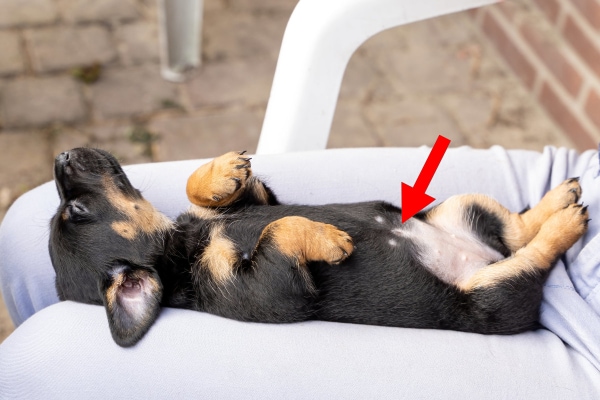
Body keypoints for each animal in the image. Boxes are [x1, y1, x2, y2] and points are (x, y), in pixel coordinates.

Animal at [49, 148, 588, 346]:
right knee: (532, 253)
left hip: (459, 207)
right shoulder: (272, 288)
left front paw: (222, 171)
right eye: (76, 210)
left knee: (516, 228)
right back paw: (565, 222)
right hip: (491, 293)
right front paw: (328, 238)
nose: (61, 155)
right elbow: (278, 230)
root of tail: (483, 259)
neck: (186, 247)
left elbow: (205, 189)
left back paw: (559, 200)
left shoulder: (257, 200)